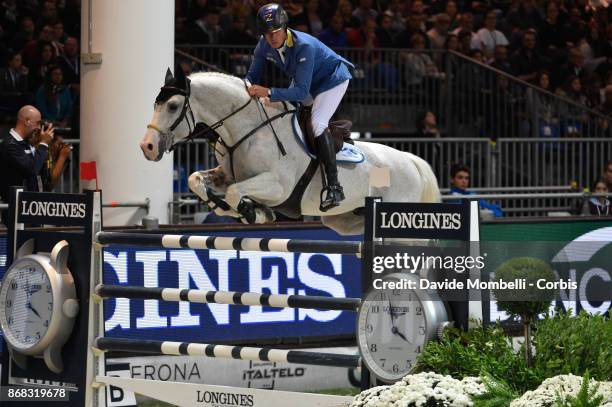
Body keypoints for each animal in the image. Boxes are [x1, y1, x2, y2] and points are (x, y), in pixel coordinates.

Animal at [141, 70, 438, 236]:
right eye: (155, 104)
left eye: (173, 106)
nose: (147, 147)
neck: (247, 129)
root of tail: (411, 160)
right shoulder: (226, 175)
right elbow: (196, 180)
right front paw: (227, 207)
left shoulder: (278, 187)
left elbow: (235, 193)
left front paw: (253, 212)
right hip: (343, 220)